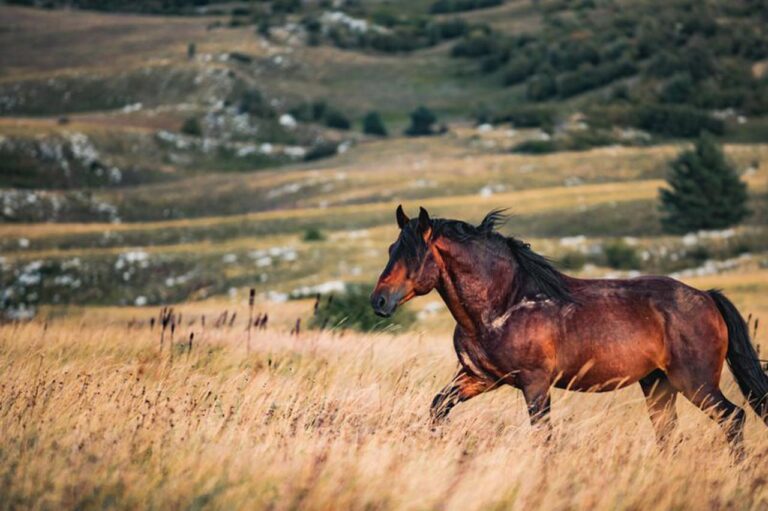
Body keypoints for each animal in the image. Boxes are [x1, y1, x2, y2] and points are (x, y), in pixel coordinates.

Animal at [370, 206, 768, 454]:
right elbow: (439, 407)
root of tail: (707, 297)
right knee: (668, 433)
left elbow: (543, 435)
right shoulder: (478, 377)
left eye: (414, 254)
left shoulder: (535, 383)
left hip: (694, 382)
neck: (503, 303)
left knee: (733, 418)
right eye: (391, 248)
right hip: (658, 384)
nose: (379, 301)